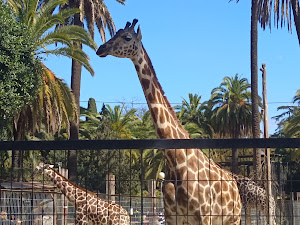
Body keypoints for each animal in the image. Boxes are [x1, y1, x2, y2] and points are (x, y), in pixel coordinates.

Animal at [96, 18, 241, 225]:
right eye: (114, 33)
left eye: (127, 37)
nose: (101, 48)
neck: (176, 161)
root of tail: (235, 185)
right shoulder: (173, 216)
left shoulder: (204, 217)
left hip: (232, 218)